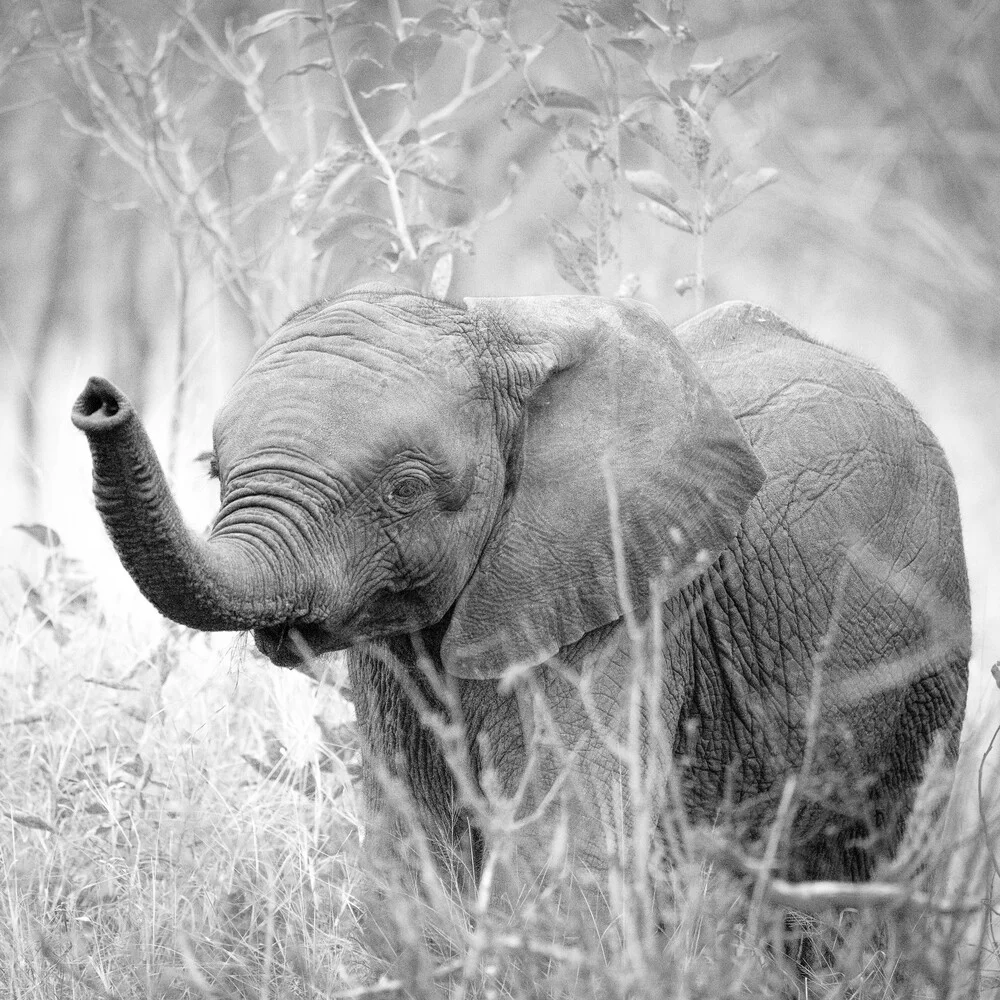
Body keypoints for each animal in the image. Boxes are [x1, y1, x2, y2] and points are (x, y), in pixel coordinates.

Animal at [74, 286, 972, 904]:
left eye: (406, 490)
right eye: (216, 473)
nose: (96, 400)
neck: (500, 335)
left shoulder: (620, 585)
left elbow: (566, 849)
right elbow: (418, 854)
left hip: (925, 660)